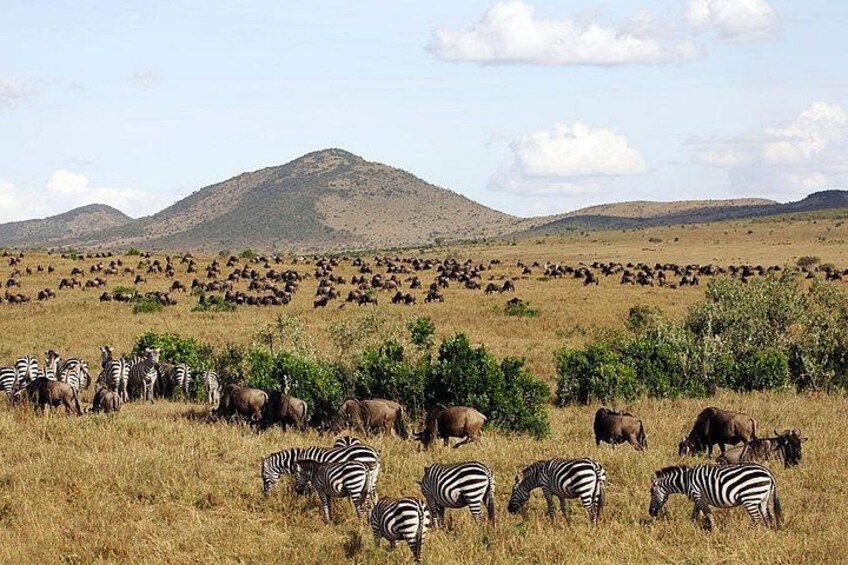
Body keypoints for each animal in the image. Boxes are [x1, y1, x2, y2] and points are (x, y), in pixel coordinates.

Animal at [648, 464, 782, 531]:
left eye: (651, 493)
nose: (650, 512)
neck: (685, 481)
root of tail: (769, 473)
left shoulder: (698, 495)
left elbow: (708, 514)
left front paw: (715, 531)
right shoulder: (698, 498)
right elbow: (695, 515)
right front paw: (691, 528)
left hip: (750, 498)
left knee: (757, 519)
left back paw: (751, 535)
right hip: (764, 499)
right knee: (767, 518)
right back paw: (767, 534)